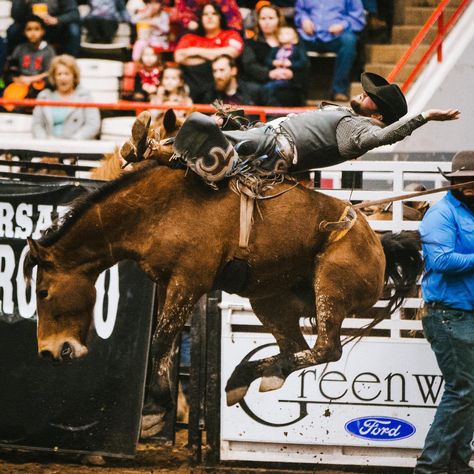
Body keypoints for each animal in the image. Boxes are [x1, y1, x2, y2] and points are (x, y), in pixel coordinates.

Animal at [25, 109, 422, 436]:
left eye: (42, 292)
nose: (48, 351)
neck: (155, 209)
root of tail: (377, 241)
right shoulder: (169, 283)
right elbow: (166, 344)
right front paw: (158, 407)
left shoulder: (189, 281)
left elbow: (160, 341)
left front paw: (152, 411)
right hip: (271, 300)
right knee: (296, 347)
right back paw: (253, 377)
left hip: (331, 288)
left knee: (326, 349)